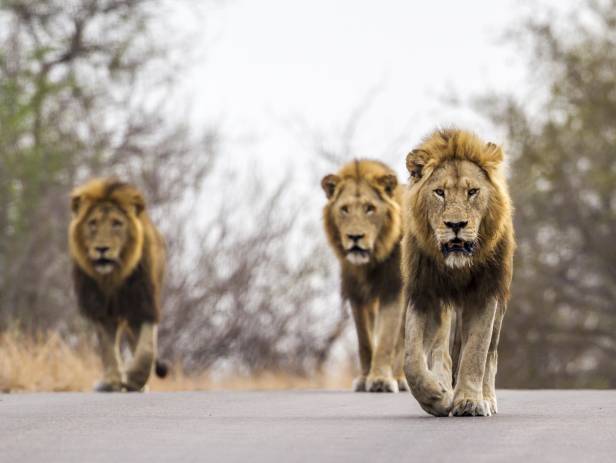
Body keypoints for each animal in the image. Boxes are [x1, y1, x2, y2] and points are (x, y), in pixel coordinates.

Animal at [69, 178, 168, 392]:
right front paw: (111, 382)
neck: (113, 277)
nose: (102, 249)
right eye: (93, 223)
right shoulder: (100, 307)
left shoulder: (143, 304)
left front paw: (135, 379)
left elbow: (147, 347)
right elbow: (107, 347)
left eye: (117, 224)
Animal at [322, 161, 410, 394]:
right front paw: (364, 378)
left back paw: (400, 378)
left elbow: (387, 340)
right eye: (344, 209)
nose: (355, 237)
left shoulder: (394, 290)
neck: (371, 262)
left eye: (370, 208)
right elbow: (365, 341)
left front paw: (381, 380)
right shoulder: (357, 295)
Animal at [402, 130, 516, 416]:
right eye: (439, 192)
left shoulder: (486, 293)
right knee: (441, 351)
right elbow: (411, 359)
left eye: (472, 191)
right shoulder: (424, 293)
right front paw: (436, 397)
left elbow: (476, 351)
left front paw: (470, 402)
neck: (456, 267)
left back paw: (486, 398)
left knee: (490, 353)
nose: (456, 225)